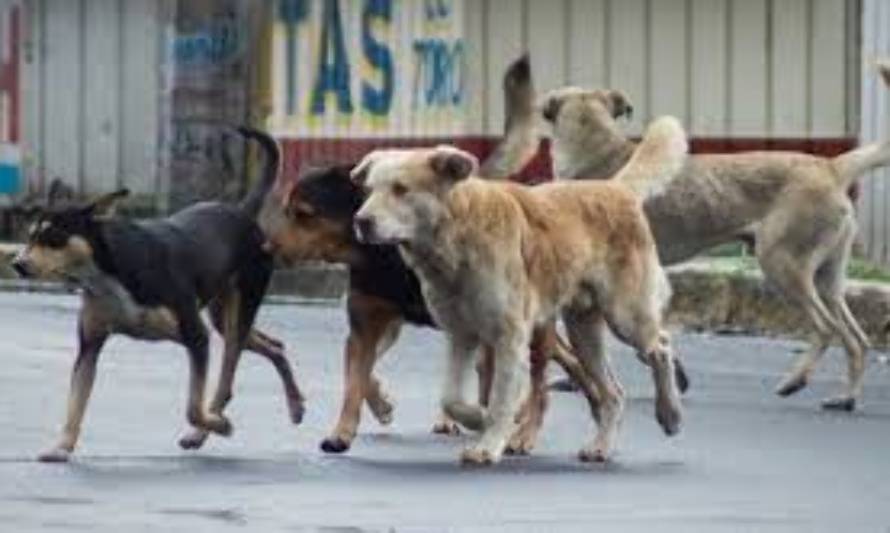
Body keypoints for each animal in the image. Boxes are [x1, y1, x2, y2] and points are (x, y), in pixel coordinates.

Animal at [13, 125, 306, 462]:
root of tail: (242, 211)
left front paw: (217, 425)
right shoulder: (89, 346)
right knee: (274, 347)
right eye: (30, 237)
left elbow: (193, 406)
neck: (108, 272)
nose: (17, 264)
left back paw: (204, 431)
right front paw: (62, 446)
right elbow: (75, 402)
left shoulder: (196, 336)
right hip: (223, 316)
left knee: (225, 381)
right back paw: (295, 405)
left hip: (239, 311)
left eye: (54, 239)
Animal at [346, 116, 688, 466]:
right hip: (584, 333)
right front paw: (479, 419)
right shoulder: (461, 335)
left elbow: (500, 398)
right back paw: (602, 446)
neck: (457, 236)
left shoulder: (509, 335)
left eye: (401, 189)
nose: (361, 221)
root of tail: (614, 188)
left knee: (660, 347)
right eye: (369, 190)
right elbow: (451, 397)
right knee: (614, 393)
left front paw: (489, 442)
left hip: (625, 315)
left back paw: (670, 414)